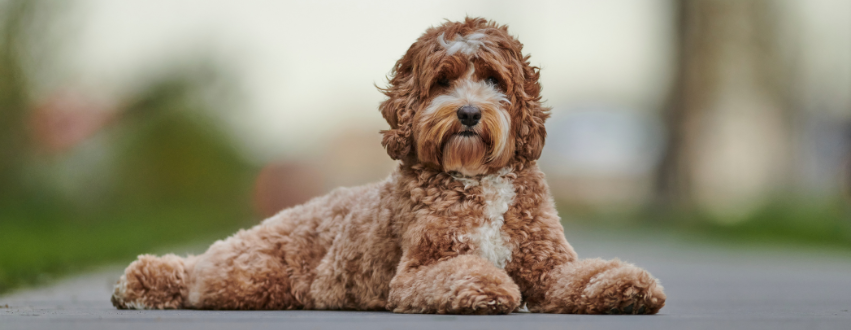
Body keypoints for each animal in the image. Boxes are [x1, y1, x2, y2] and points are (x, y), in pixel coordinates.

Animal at [110, 17, 664, 314]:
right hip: (246, 276)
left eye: (494, 79)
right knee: (194, 274)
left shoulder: (548, 264)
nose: (468, 113)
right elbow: (462, 271)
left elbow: (584, 275)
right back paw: (139, 282)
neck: (475, 180)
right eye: (442, 80)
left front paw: (626, 288)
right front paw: (487, 288)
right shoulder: (419, 271)